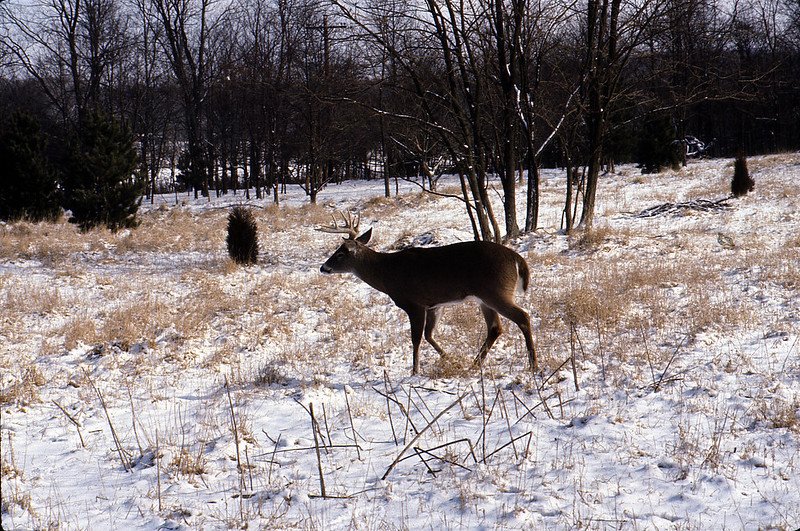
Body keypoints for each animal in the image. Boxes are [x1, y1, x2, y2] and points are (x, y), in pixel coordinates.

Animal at [318, 210, 536, 376]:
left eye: (340, 253)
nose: (323, 267)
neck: (386, 273)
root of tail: (517, 260)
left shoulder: (413, 303)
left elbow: (416, 339)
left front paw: (414, 371)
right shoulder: (434, 305)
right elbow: (429, 334)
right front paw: (450, 359)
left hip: (496, 291)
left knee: (523, 316)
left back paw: (533, 364)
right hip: (485, 298)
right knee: (495, 328)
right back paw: (474, 364)